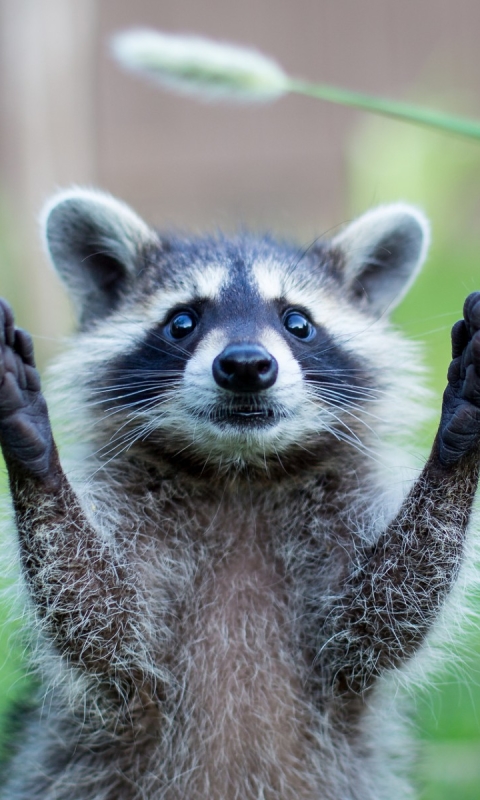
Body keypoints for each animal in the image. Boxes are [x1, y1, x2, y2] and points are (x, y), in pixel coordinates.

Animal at [0, 189, 478, 800]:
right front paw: (39, 460)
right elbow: (97, 615)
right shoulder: (131, 517)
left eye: (298, 322)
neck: (240, 472)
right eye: (182, 321)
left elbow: (385, 611)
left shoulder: (342, 520)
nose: (246, 365)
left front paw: (453, 453)